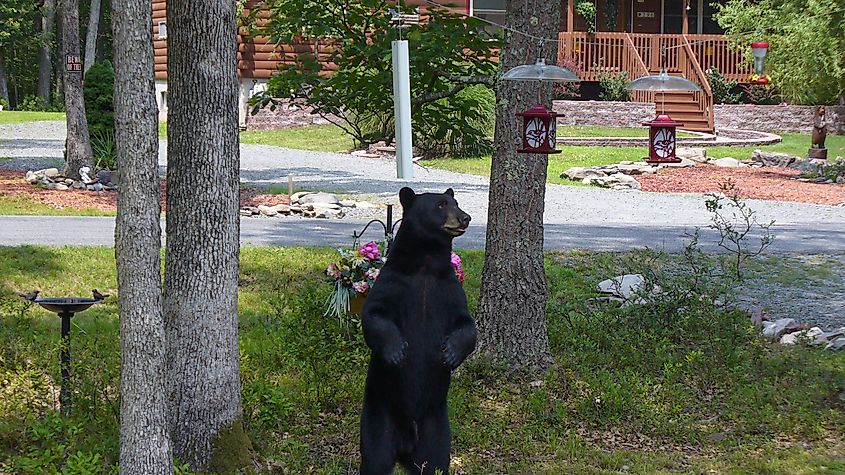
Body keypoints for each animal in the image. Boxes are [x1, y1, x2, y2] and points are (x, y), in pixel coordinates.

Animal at [358, 188, 474, 475]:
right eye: (441, 204)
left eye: (456, 202)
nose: (465, 217)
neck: (426, 264)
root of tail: (406, 447)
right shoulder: (391, 282)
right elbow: (375, 315)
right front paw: (397, 352)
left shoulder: (450, 290)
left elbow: (466, 325)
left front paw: (450, 353)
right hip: (379, 418)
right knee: (376, 458)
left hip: (437, 429)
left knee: (435, 462)